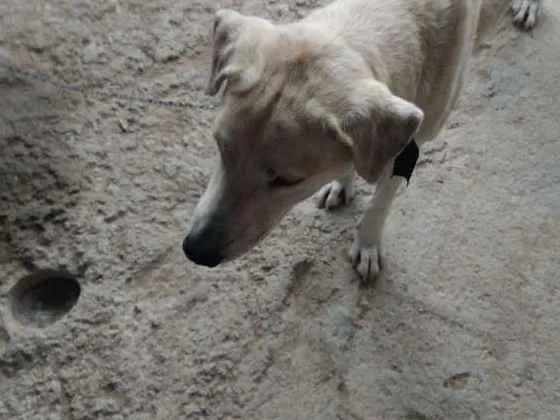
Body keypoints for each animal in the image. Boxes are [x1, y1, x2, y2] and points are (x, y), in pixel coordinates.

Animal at [184, 0, 544, 284]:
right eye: (220, 147)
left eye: (287, 180)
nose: (194, 250)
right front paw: (342, 182)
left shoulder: (407, 147)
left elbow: (381, 201)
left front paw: (367, 245)